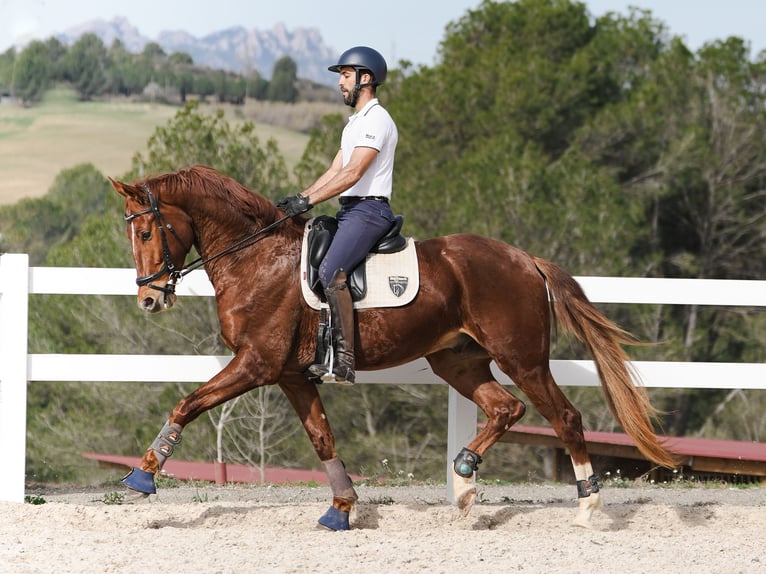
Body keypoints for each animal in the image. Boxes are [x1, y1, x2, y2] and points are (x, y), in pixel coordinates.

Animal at [109, 165, 680, 532]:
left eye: (145, 231)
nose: (148, 299)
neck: (256, 257)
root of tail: (525, 259)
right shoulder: (290, 374)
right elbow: (322, 438)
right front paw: (341, 508)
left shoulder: (256, 364)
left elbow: (187, 403)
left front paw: (143, 476)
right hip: (457, 360)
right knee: (505, 408)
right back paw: (464, 482)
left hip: (523, 359)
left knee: (564, 417)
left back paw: (586, 506)